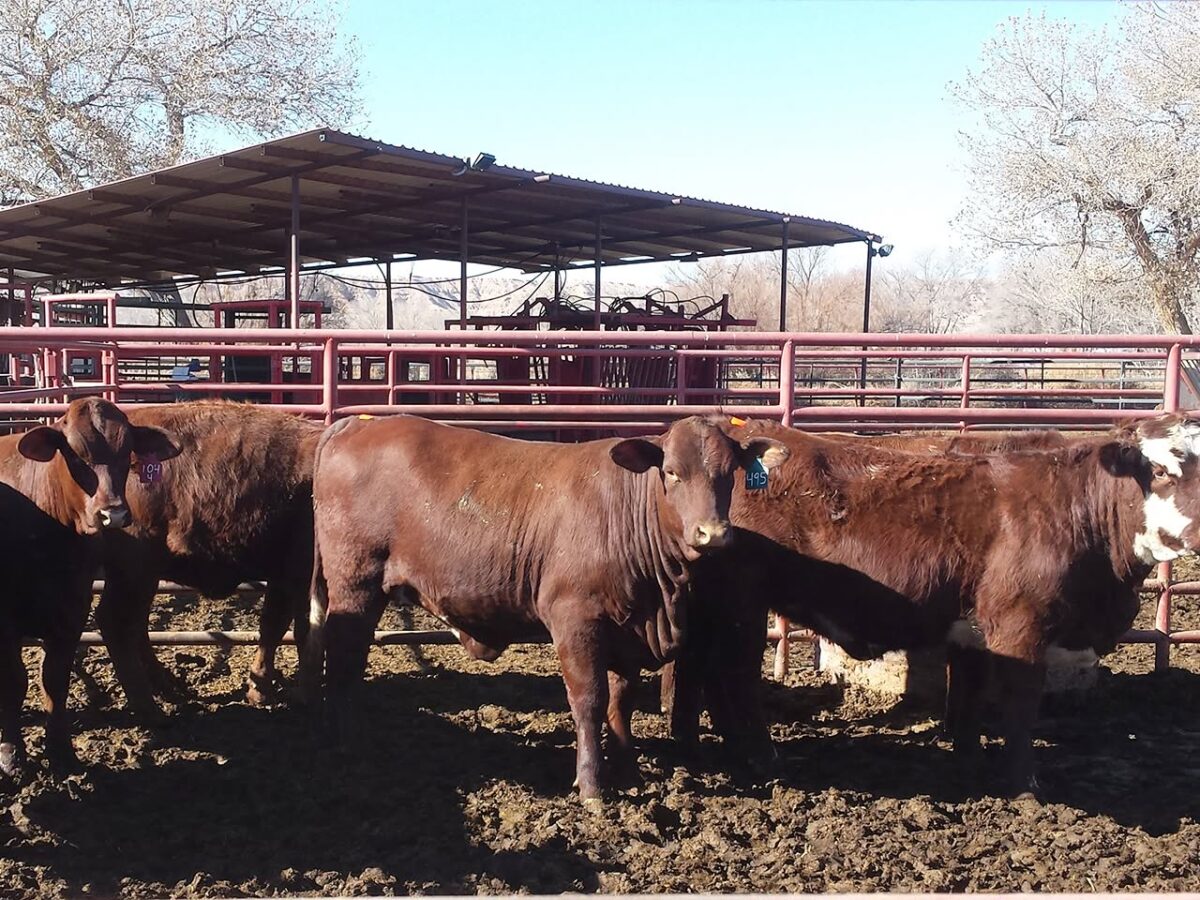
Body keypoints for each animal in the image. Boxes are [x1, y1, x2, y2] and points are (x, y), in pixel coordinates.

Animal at [0, 397, 179, 780]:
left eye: (127, 453)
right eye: (75, 455)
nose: (114, 514)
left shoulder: (72, 611)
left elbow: (54, 680)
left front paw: (62, 752)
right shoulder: (5, 622)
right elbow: (14, 682)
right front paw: (12, 753)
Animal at [93, 401, 323, 716]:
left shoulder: (286, 577)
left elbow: (277, 627)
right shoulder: (296, 575)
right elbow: (292, 628)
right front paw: (283, 692)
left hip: (144, 575)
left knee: (135, 623)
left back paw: (166, 685)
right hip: (134, 570)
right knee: (116, 621)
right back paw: (148, 707)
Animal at [302, 414, 788, 804]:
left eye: (730, 474)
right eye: (671, 472)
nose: (713, 534)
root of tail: (356, 424)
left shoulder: (626, 626)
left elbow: (621, 700)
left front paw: (629, 772)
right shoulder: (575, 621)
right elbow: (589, 700)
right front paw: (592, 787)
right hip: (355, 585)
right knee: (344, 658)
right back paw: (345, 739)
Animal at [658, 416, 1194, 796]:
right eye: (1161, 470)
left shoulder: (976, 631)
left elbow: (971, 698)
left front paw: (967, 760)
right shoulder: (1020, 629)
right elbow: (1020, 709)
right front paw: (1024, 785)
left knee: (699, 668)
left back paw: (701, 746)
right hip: (742, 604)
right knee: (734, 674)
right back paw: (759, 754)